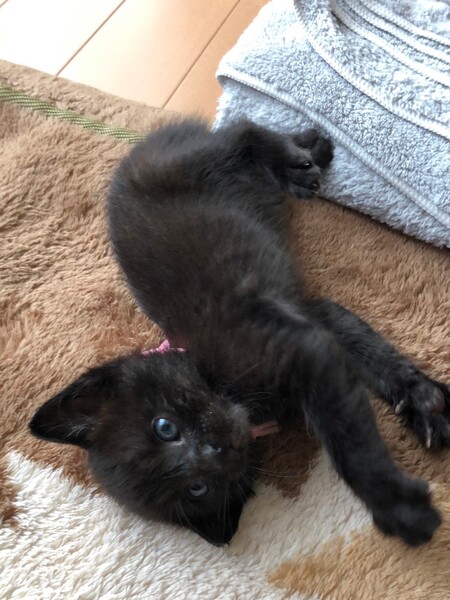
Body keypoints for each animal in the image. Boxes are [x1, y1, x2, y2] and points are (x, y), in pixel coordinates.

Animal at [30, 117, 450, 547]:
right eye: (197, 488)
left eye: (164, 427)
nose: (216, 447)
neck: (220, 382)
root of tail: (139, 147)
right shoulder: (315, 322)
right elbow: (368, 351)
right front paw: (425, 404)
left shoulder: (303, 349)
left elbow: (351, 444)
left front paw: (401, 509)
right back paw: (312, 147)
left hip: (192, 159)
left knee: (241, 130)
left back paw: (296, 161)